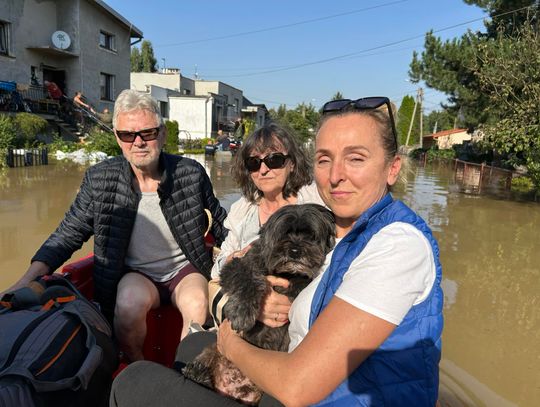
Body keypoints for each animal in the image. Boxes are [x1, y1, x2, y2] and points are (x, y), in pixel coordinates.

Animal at [182, 204, 334, 404]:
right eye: (283, 234)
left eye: (311, 235)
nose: (295, 251)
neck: (285, 273)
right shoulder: (238, 264)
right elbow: (248, 278)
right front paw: (242, 313)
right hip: (214, 349)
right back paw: (198, 372)